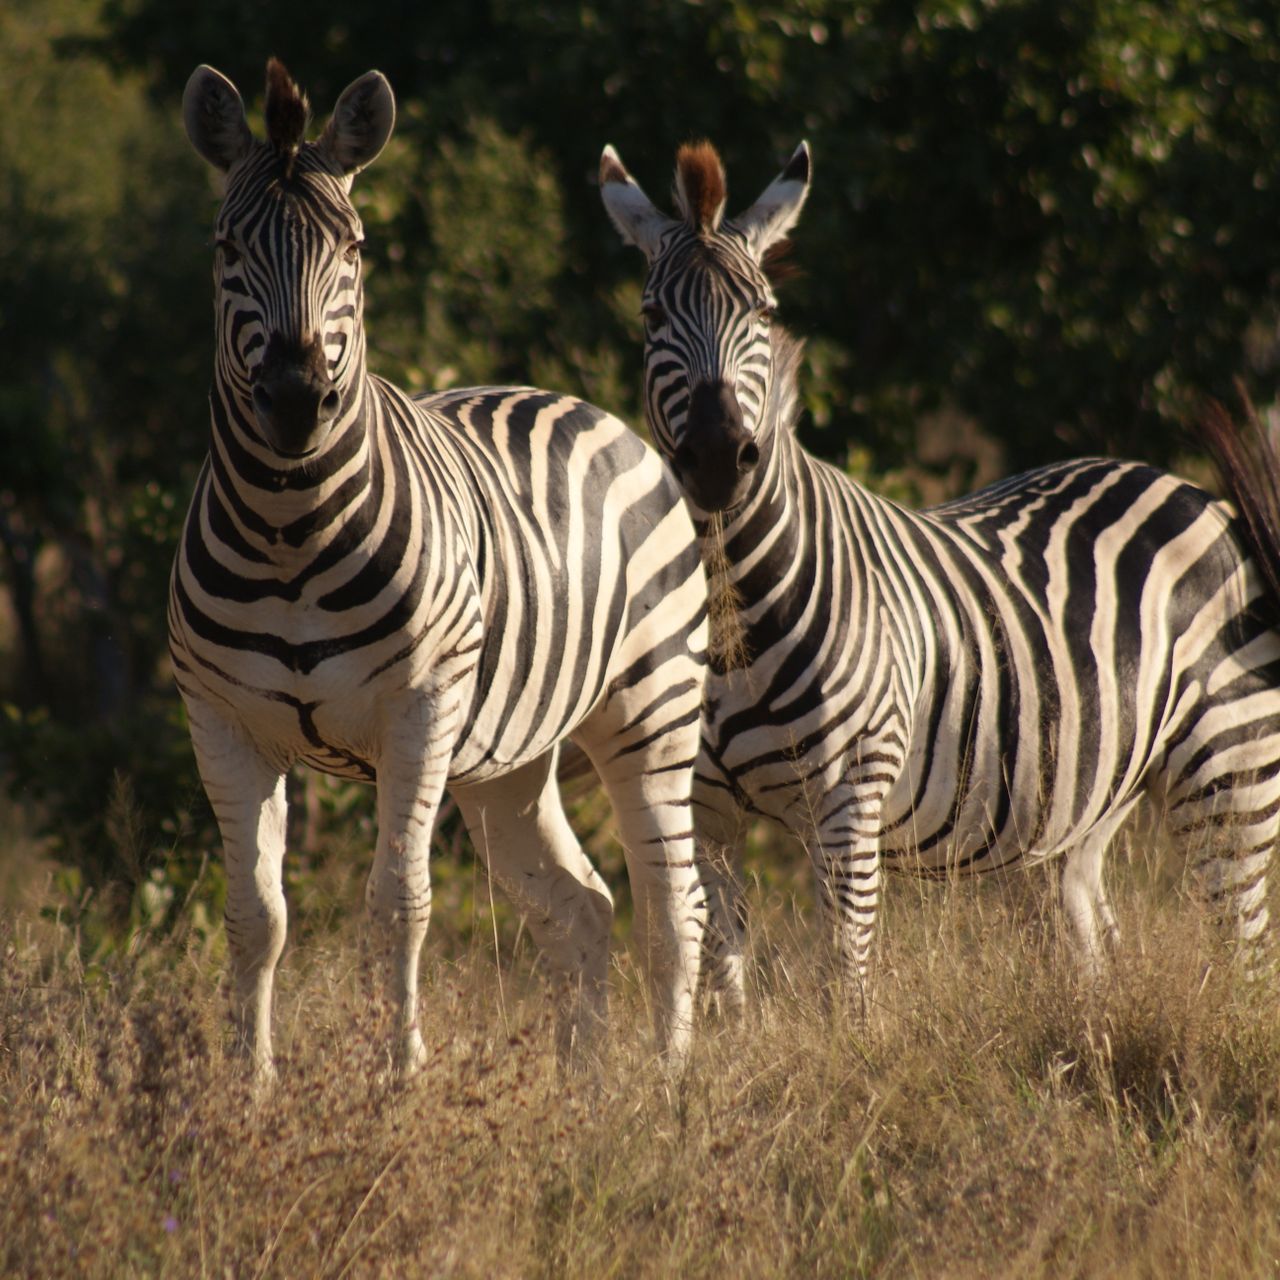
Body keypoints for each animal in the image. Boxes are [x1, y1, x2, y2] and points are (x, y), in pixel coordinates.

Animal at [172, 59, 709, 1083]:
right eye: (224, 246)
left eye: (353, 248)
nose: (295, 401)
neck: (288, 532)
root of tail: (576, 401)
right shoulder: (223, 723)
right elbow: (256, 918)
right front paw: (248, 1089)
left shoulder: (416, 711)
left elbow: (398, 907)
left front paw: (397, 1077)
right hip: (508, 761)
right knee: (582, 908)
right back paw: (587, 1090)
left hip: (652, 711)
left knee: (674, 911)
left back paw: (668, 1085)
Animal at [599, 137, 1280, 1010]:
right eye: (651, 318)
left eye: (764, 315)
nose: (720, 459)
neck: (733, 613)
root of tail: (1191, 492)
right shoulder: (703, 809)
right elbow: (726, 984)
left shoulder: (848, 803)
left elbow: (845, 988)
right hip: (1077, 810)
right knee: (1096, 943)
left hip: (1229, 772)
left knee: (1246, 955)